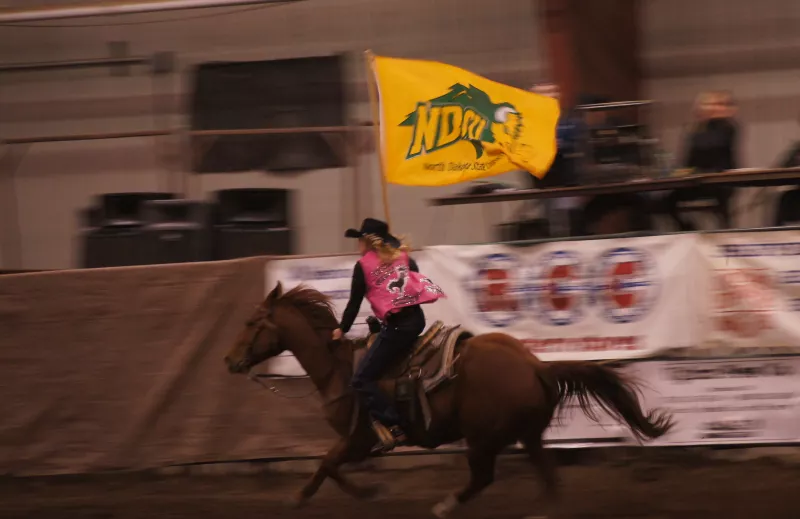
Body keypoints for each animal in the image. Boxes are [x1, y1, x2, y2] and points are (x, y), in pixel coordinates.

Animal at [225, 282, 676, 516]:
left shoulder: (360, 439)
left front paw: (364, 495)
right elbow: (326, 466)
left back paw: (445, 505)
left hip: (481, 436)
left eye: (250, 322)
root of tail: (535, 366)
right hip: (528, 433)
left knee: (483, 477)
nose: (230, 360)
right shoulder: (355, 442)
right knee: (547, 478)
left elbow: (328, 465)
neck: (337, 368)